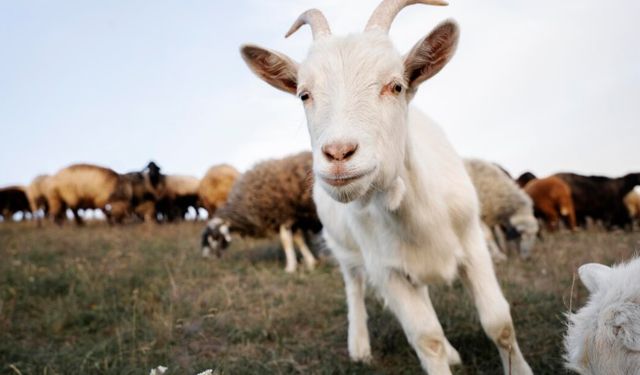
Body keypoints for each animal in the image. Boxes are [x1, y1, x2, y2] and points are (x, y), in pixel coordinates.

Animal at [239, 1, 528, 374]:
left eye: (396, 86)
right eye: (304, 94)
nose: (338, 153)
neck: (418, 211)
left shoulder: (473, 244)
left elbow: (498, 322)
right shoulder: (385, 269)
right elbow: (427, 339)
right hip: (344, 248)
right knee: (354, 286)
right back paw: (359, 345)